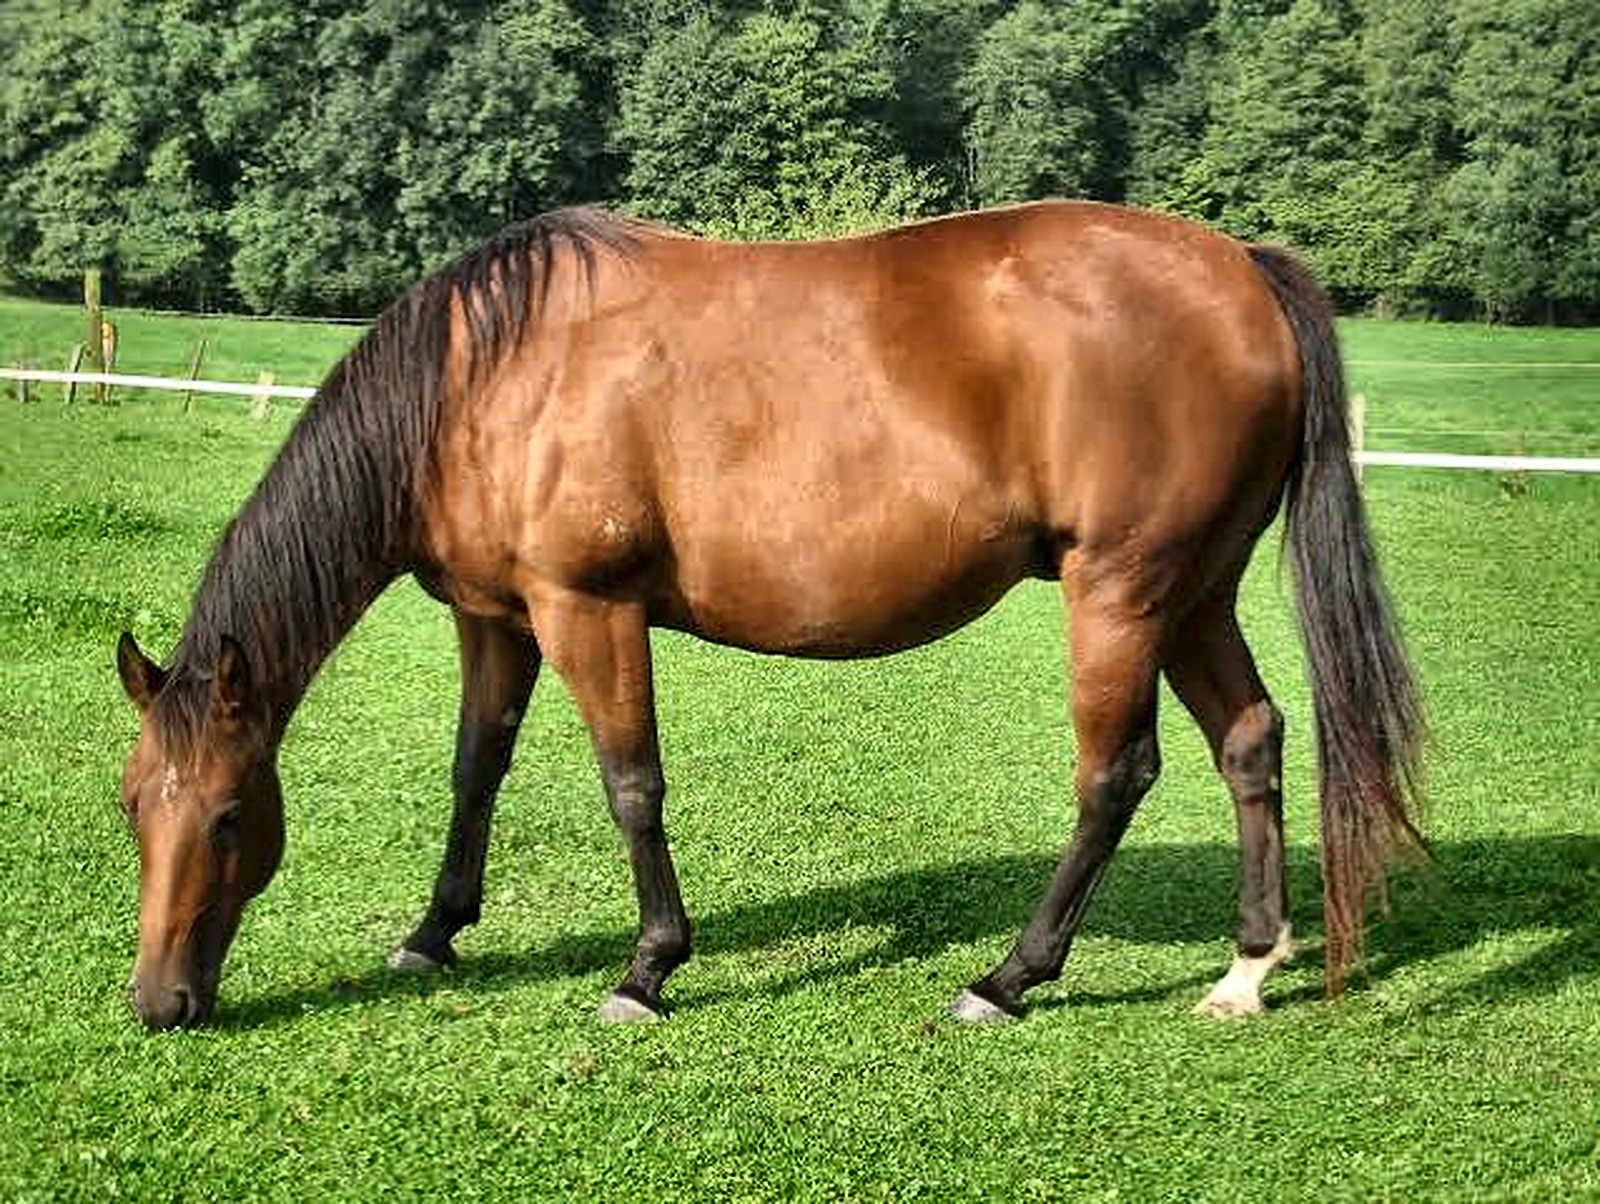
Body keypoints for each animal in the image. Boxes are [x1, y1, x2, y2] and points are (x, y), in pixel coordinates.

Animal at [114, 201, 1423, 1030]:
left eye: (227, 817)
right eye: (134, 806)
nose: (160, 1002)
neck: (486, 378)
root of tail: (1241, 267)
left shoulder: (586, 610)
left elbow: (630, 784)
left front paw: (647, 969)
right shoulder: (497, 617)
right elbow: (475, 767)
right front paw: (435, 933)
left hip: (1120, 592)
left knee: (1116, 773)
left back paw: (1008, 977)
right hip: (1191, 591)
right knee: (1249, 739)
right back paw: (1247, 966)